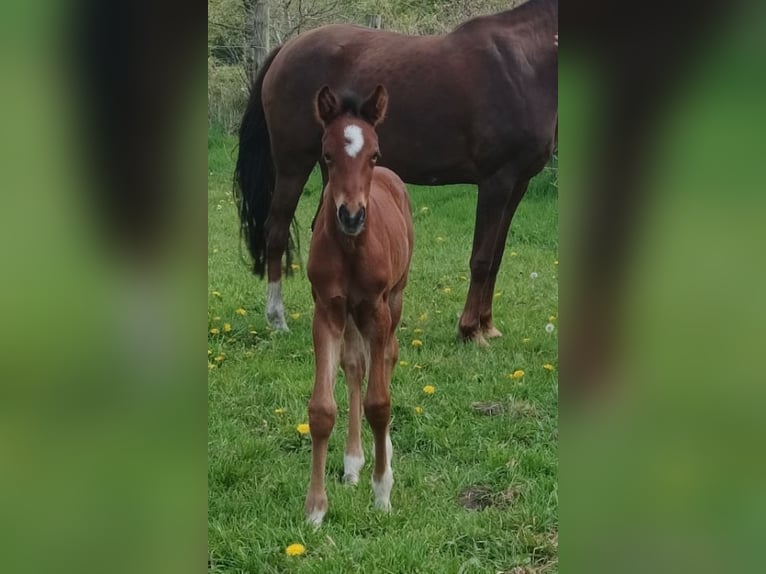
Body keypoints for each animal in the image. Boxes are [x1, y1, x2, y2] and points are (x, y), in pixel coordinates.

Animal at [234, 0, 560, 344]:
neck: (523, 62)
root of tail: (286, 49)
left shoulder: (518, 183)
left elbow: (496, 257)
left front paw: (487, 325)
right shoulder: (496, 181)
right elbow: (482, 259)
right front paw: (470, 330)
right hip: (293, 164)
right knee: (276, 231)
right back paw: (277, 318)